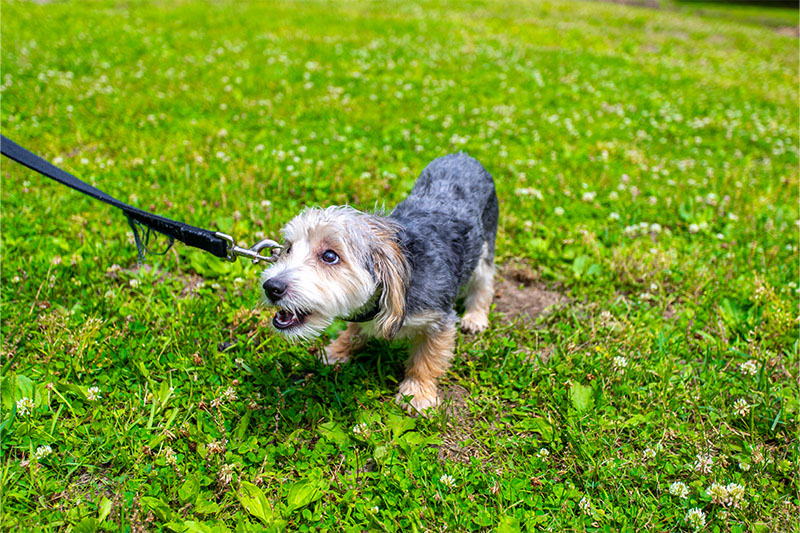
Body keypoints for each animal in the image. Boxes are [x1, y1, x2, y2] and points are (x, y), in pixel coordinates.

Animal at [260, 154, 496, 412]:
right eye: (288, 249)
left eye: (330, 256)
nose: (271, 287)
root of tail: (462, 155)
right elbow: (353, 331)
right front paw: (338, 350)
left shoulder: (439, 319)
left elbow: (426, 359)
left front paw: (417, 392)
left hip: (485, 248)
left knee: (483, 284)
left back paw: (475, 317)